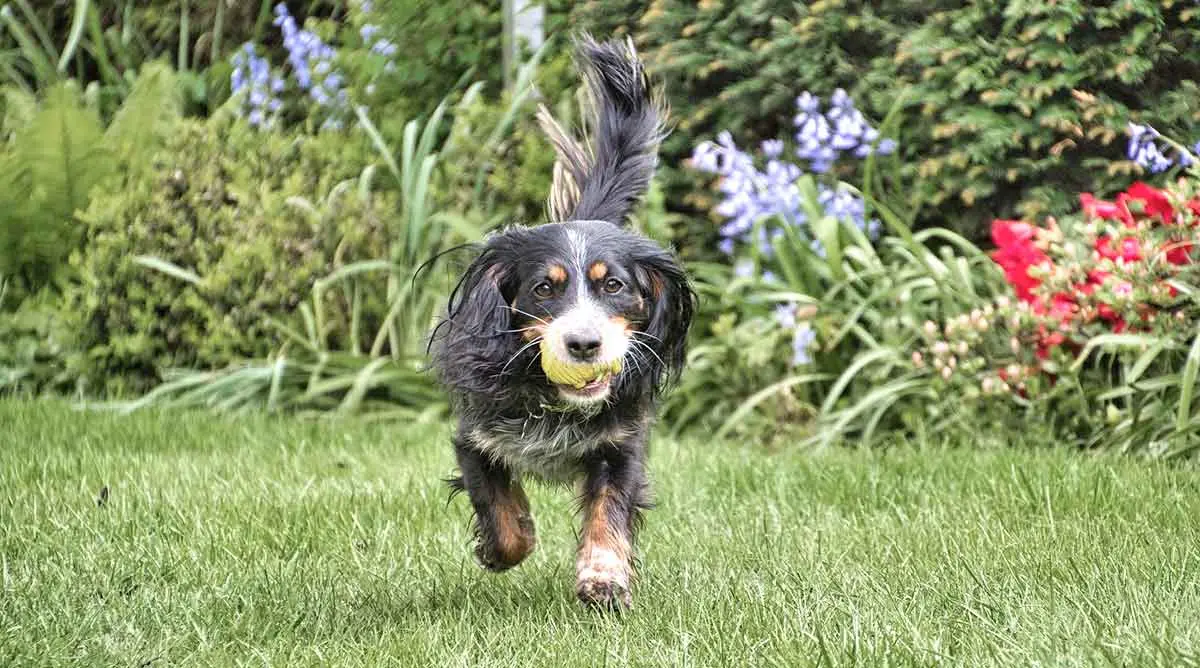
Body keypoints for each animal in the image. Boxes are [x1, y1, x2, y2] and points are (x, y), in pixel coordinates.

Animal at [432, 36, 696, 609]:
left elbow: (609, 510)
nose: (583, 345)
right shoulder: (475, 437)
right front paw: (504, 548)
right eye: (544, 288)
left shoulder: (622, 442)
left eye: (613, 285)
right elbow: (498, 508)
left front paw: (604, 580)